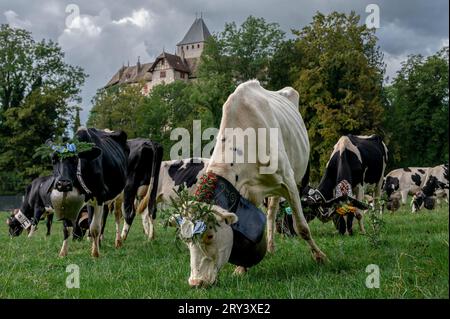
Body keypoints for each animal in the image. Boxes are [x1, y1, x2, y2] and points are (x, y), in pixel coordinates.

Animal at [50, 127, 129, 258]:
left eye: (75, 159)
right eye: (54, 160)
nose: (63, 183)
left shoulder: (100, 195)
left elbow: (95, 228)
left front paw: (95, 253)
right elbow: (67, 228)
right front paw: (62, 253)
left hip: (120, 193)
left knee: (116, 216)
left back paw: (117, 242)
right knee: (97, 217)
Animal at [167, 79, 326, 288]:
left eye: (209, 235)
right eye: (186, 240)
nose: (196, 282)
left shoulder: (288, 181)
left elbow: (302, 228)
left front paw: (320, 257)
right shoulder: (245, 191)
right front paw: (241, 268)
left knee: (275, 211)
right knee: (271, 212)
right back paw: (271, 246)